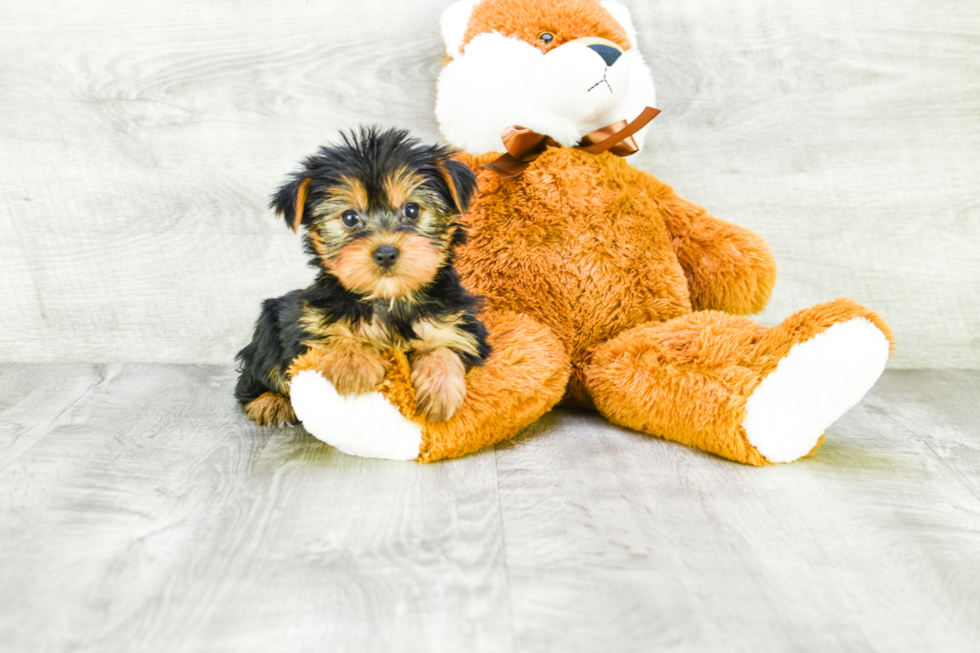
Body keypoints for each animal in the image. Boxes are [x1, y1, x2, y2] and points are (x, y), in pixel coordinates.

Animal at [237, 125, 490, 426]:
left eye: (412, 210)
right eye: (349, 218)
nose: (386, 253)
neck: (389, 299)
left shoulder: (460, 325)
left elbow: (447, 347)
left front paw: (440, 387)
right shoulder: (309, 320)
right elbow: (333, 335)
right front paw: (353, 367)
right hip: (269, 323)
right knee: (257, 374)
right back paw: (269, 402)